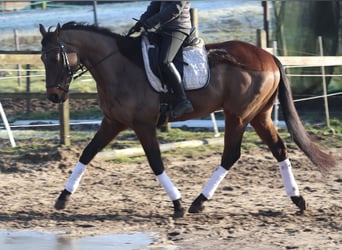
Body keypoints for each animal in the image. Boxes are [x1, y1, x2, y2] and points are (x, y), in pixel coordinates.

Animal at [38, 22, 336, 218]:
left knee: (231, 155)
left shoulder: (143, 125)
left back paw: (198, 202)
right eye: (41, 58)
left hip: (238, 115)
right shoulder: (113, 122)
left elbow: (155, 163)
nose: (54, 96)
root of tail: (268, 56)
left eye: (55, 57)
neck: (118, 67)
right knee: (279, 149)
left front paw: (178, 204)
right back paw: (298, 199)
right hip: (259, 115)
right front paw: (62, 198)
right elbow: (87, 154)